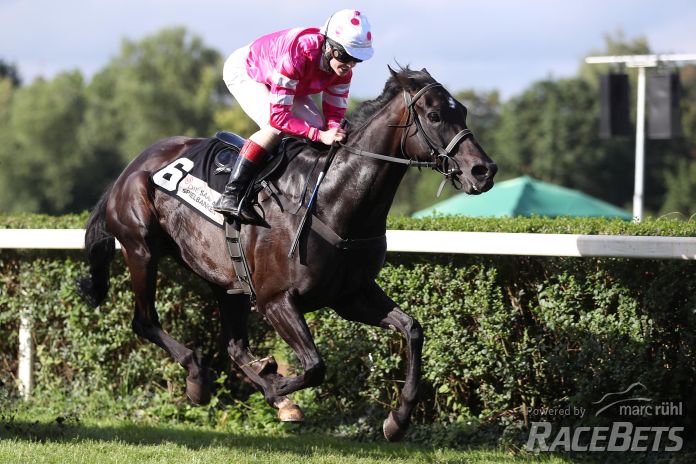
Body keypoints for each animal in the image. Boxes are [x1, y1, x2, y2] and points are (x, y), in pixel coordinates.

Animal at [77, 66, 497, 441]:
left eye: (463, 111)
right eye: (435, 115)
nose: (484, 170)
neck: (331, 202)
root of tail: (132, 165)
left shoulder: (350, 295)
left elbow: (412, 329)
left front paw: (398, 418)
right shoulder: (275, 299)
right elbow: (315, 366)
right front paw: (278, 390)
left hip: (226, 281)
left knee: (234, 345)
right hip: (141, 248)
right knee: (145, 322)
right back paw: (199, 378)